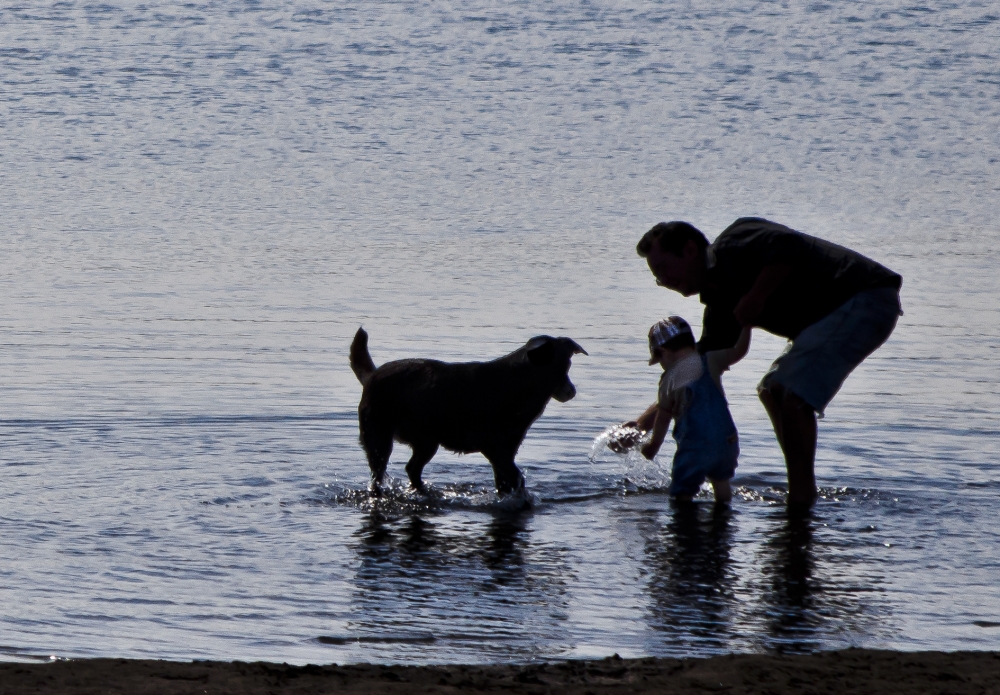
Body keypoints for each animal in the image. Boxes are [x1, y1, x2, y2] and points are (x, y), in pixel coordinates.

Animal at [352, 328, 584, 494]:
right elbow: (513, 475)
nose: (572, 391)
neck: (519, 382)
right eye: (565, 365)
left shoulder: (506, 449)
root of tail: (372, 376)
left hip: (426, 442)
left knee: (411, 469)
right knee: (379, 475)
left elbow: (507, 478)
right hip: (379, 439)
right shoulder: (495, 447)